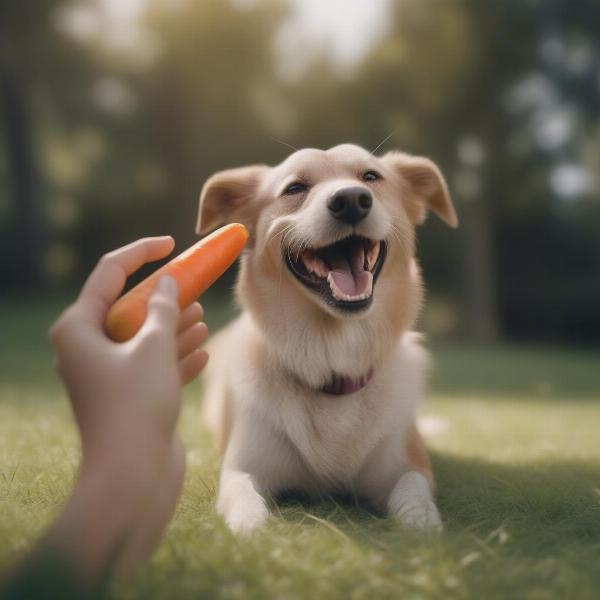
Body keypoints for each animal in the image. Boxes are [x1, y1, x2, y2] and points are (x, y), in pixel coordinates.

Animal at [195, 143, 458, 532]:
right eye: (294, 188)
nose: (351, 201)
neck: (333, 359)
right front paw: (253, 532)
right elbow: (245, 504)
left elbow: (413, 493)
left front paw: (423, 527)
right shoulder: (241, 469)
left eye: (371, 177)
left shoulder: (407, 465)